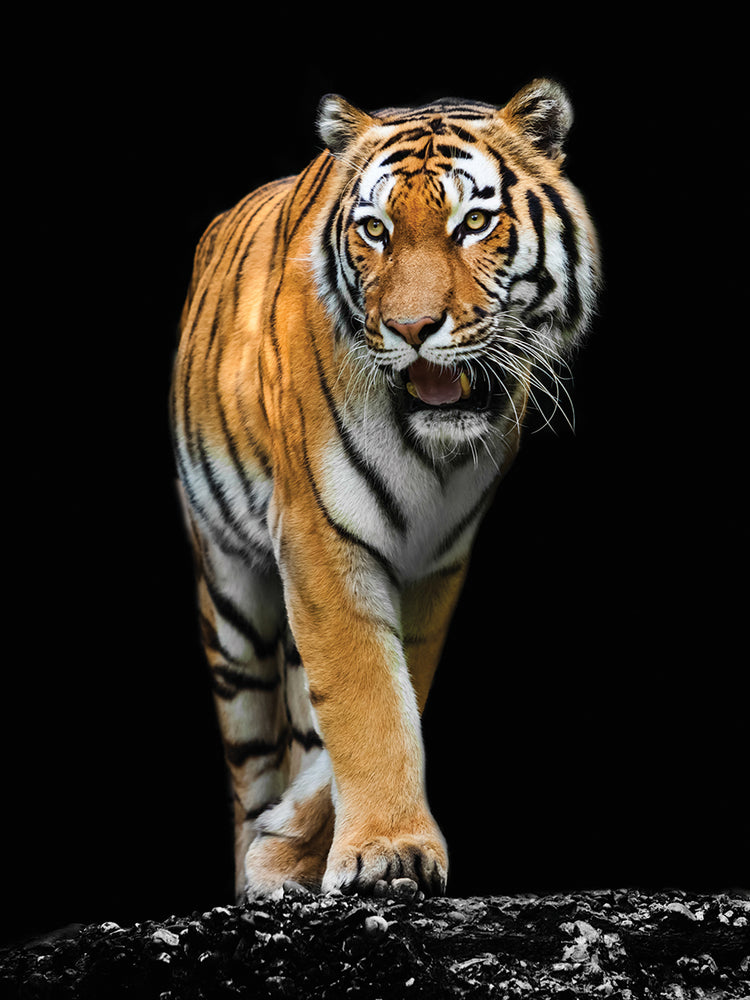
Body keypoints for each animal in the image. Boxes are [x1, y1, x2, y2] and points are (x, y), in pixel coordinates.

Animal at [170, 78, 601, 900]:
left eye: (474, 223)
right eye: (374, 230)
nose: (411, 327)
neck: (433, 452)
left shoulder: (436, 561)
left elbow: (393, 695)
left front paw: (308, 846)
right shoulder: (318, 535)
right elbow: (368, 695)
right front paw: (385, 852)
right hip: (230, 600)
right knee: (250, 755)